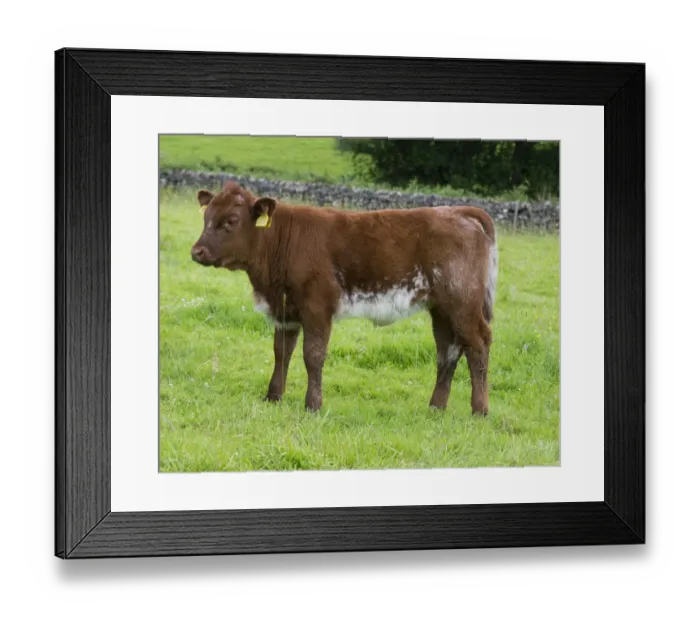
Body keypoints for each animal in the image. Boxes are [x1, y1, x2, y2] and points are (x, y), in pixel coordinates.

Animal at [190, 181, 498, 415]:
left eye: (231, 221)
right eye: (206, 218)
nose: (197, 251)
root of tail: (459, 211)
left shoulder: (317, 306)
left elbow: (313, 355)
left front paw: (313, 405)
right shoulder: (286, 310)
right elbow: (281, 352)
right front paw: (273, 397)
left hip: (463, 303)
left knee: (478, 344)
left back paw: (480, 410)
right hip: (442, 309)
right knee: (448, 350)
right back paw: (436, 406)